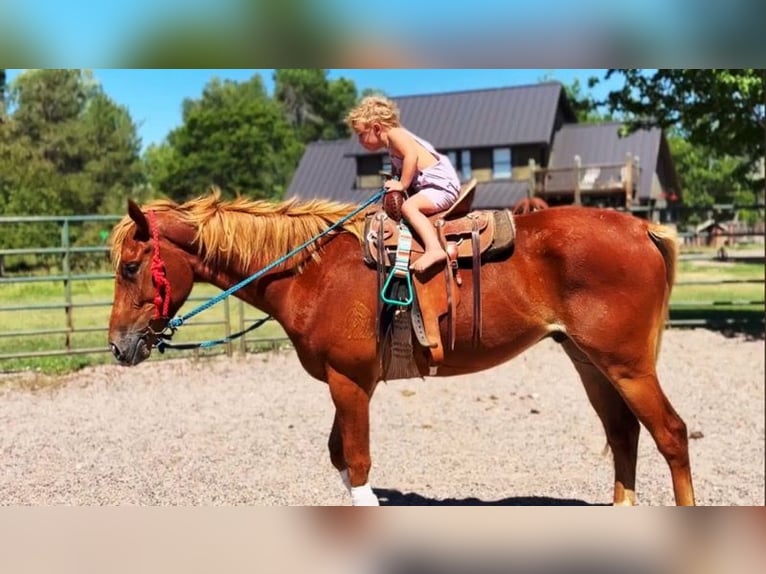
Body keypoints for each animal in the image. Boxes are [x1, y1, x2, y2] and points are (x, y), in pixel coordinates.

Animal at [107, 188, 695, 506]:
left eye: (131, 267)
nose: (116, 347)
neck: (313, 272)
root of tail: (641, 227)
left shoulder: (350, 382)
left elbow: (357, 459)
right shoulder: (349, 382)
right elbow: (339, 455)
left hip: (627, 365)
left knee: (670, 434)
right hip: (588, 361)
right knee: (623, 434)